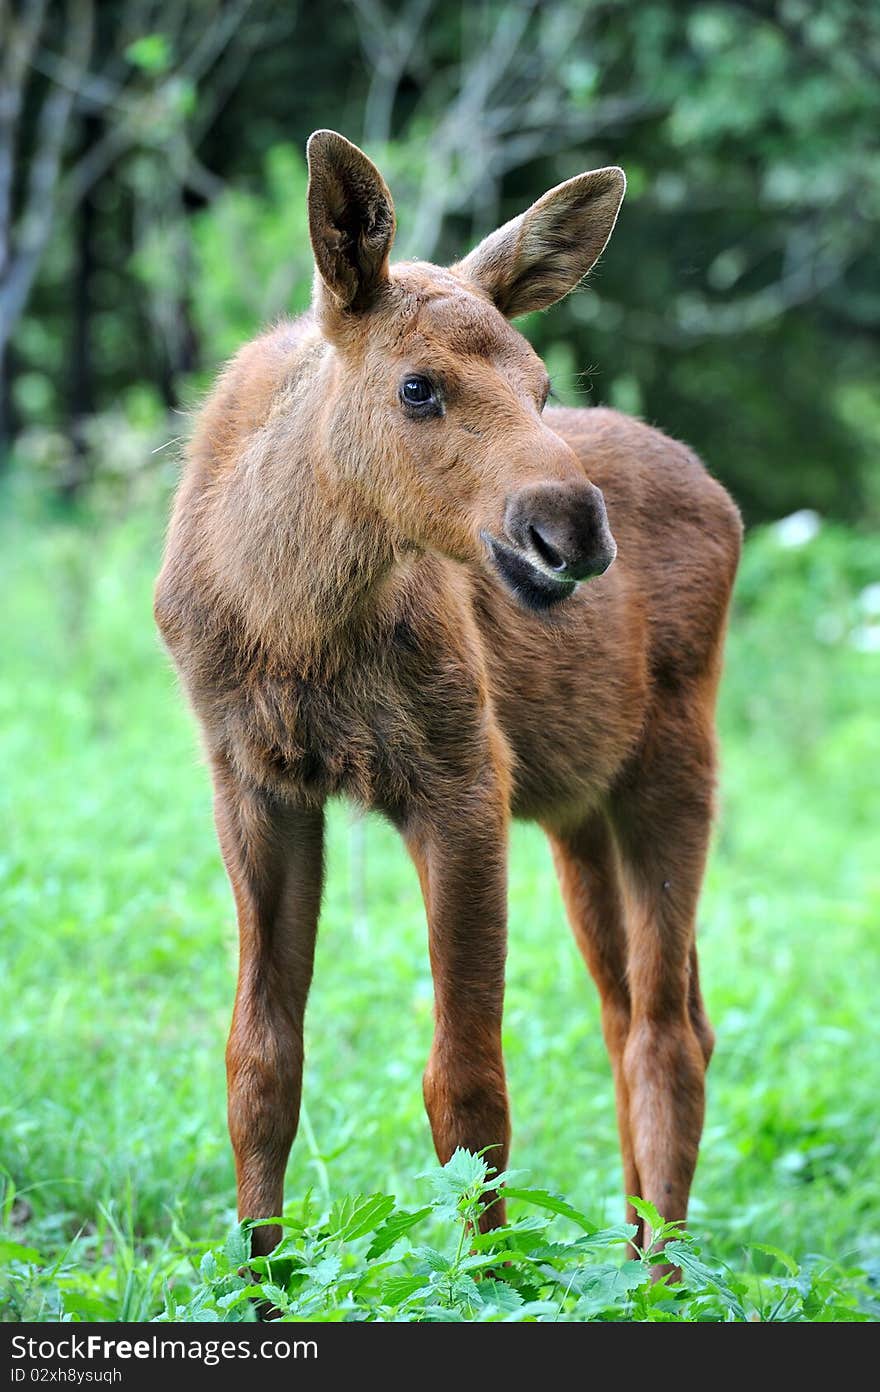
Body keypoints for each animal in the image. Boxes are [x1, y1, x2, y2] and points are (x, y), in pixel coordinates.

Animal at [153, 128, 740, 1263]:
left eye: (543, 384)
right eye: (418, 387)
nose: (571, 529)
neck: (287, 613)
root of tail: (724, 495)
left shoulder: (465, 778)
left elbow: (467, 1089)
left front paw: (489, 1274)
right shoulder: (252, 783)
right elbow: (259, 1063)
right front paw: (257, 1274)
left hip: (676, 767)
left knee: (669, 1030)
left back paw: (662, 1278)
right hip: (578, 811)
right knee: (636, 1014)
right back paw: (634, 1250)